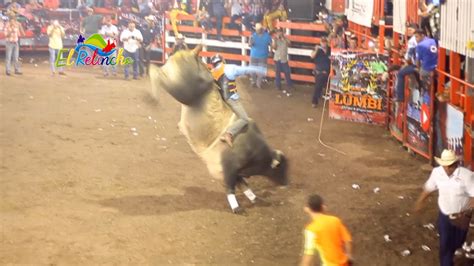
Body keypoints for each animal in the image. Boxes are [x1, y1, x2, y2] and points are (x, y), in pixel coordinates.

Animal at [150, 45, 286, 212]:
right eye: (281, 168)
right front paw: (236, 207)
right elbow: (231, 188)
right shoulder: (229, 168)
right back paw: (152, 96)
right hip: (181, 89)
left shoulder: (235, 172)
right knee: (156, 73)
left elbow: (244, 185)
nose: (286, 183)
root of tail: (193, 53)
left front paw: (254, 198)